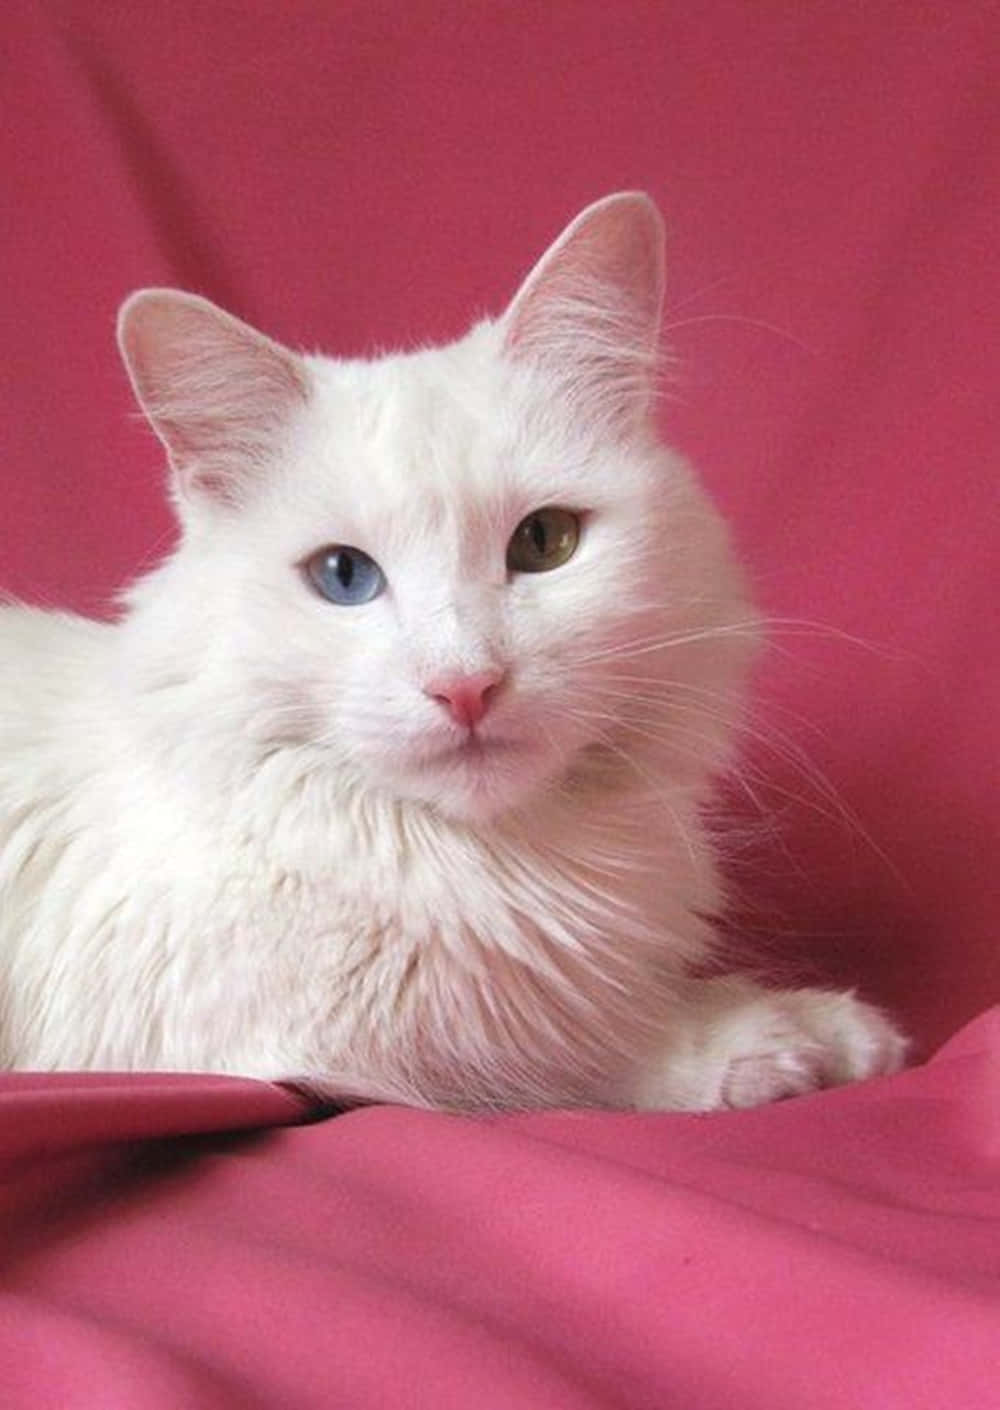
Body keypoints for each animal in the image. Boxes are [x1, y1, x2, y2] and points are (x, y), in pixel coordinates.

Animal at [0, 193, 902, 1105]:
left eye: (544, 541)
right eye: (343, 576)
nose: (465, 686)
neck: (495, 861)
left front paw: (836, 1035)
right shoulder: (298, 1043)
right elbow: (576, 1045)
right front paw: (762, 1041)